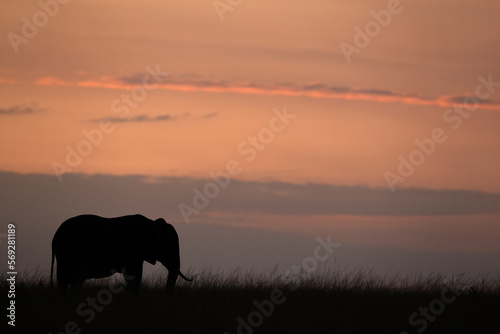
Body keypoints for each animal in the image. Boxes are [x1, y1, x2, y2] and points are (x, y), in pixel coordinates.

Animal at [50, 215, 191, 290]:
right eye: (169, 246)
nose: (192, 279)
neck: (151, 223)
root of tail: (54, 238)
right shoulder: (132, 250)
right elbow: (134, 276)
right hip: (67, 252)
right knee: (65, 279)